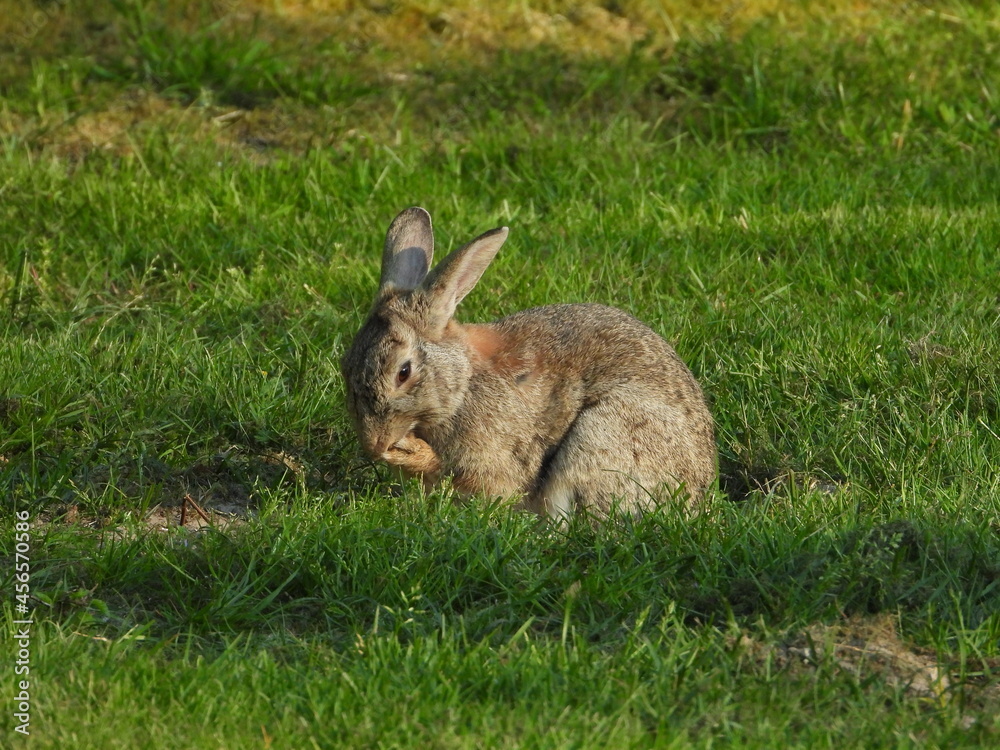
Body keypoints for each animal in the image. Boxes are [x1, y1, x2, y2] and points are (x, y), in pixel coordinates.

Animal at [341, 207, 716, 520]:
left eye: (403, 372)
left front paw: (411, 453)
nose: (374, 445)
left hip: (604, 433)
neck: (462, 384)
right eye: (345, 367)